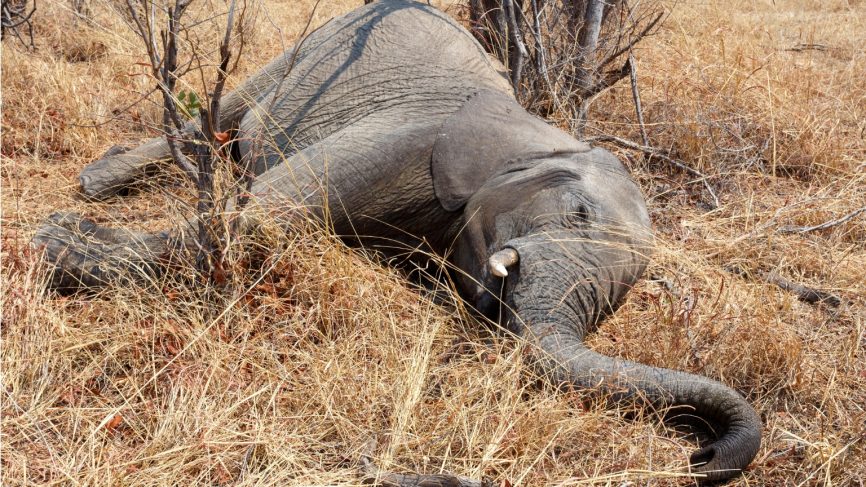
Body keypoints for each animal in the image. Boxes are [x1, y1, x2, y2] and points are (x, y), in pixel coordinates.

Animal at [33, 0, 756, 482]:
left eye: (617, 302)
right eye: (577, 212)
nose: (699, 453)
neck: (541, 136)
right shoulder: (415, 138)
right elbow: (266, 214)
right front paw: (56, 242)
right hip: (319, 42)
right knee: (225, 112)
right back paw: (96, 184)